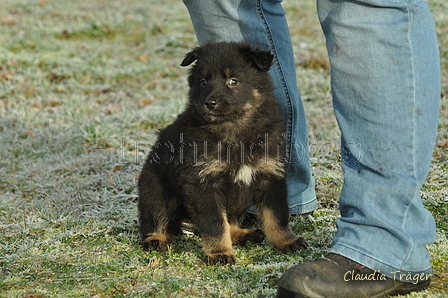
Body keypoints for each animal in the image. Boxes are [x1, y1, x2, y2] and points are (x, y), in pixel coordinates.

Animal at [138, 42, 310, 266]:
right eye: (203, 81)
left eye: (233, 81)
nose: (209, 103)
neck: (234, 128)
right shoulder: (202, 183)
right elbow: (215, 224)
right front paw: (219, 253)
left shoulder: (270, 176)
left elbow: (277, 216)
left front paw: (286, 241)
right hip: (156, 189)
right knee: (155, 216)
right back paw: (155, 239)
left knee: (232, 221)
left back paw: (242, 234)